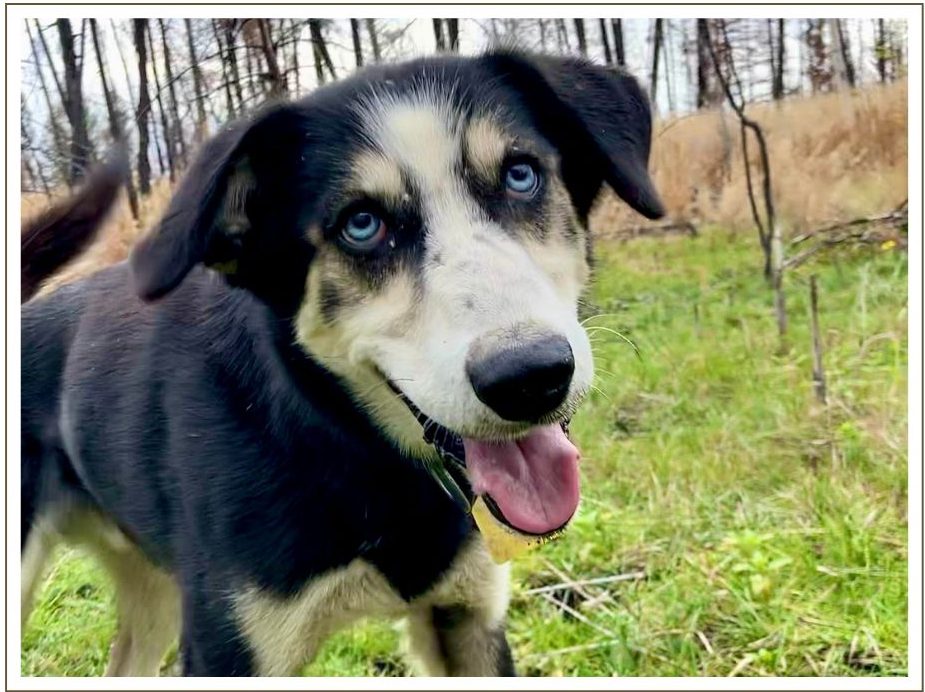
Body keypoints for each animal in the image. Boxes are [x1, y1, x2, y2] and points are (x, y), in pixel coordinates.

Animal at [21, 50, 664, 676]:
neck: (350, 445)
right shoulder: (226, 650)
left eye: (521, 175)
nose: (530, 377)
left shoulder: (467, 620)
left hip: (154, 593)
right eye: (360, 224)